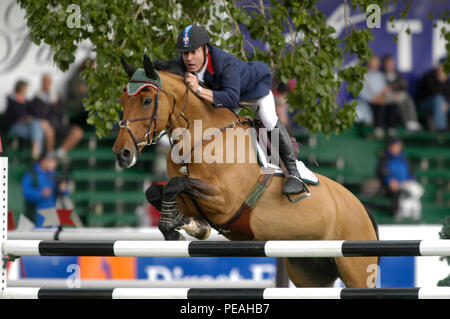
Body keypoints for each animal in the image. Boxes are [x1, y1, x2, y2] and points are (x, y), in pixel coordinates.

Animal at [113, 55, 380, 290]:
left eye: (147, 101)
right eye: (122, 102)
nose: (122, 154)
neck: (200, 138)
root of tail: (362, 208)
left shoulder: (224, 201)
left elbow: (174, 185)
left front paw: (176, 226)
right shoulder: (197, 198)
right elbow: (155, 191)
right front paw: (188, 224)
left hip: (356, 269)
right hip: (309, 270)